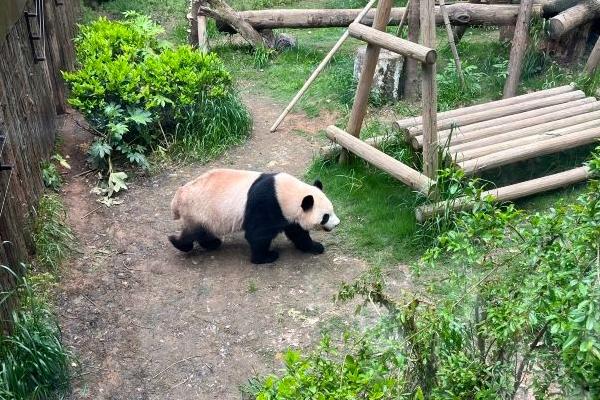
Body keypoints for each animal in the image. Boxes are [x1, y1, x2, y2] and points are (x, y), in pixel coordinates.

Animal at [169, 168, 340, 264]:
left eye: (332, 210)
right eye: (325, 216)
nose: (337, 223)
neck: (286, 193)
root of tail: (178, 197)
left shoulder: (287, 214)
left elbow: (298, 233)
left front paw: (315, 247)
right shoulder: (268, 204)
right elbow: (257, 235)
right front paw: (266, 257)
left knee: (202, 232)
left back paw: (212, 244)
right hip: (198, 210)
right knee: (193, 232)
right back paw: (179, 243)